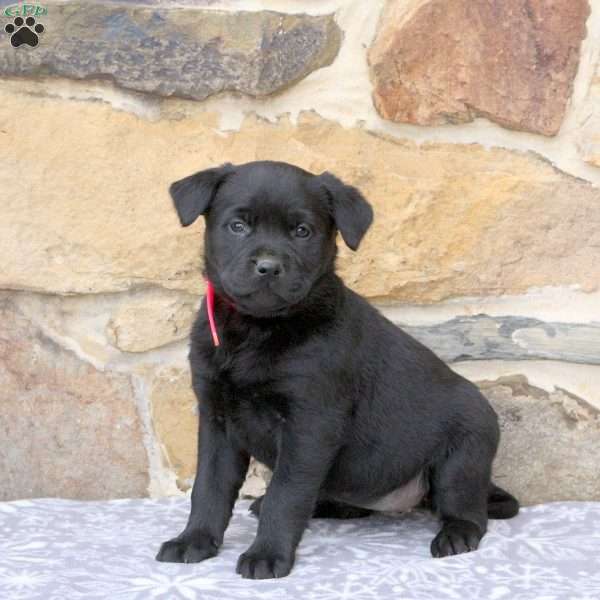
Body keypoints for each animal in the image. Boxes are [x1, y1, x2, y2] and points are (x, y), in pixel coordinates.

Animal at [157, 159, 516, 576]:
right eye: (238, 226)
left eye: (302, 231)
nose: (268, 267)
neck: (257, 329)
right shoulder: (217, 419)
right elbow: (209, 489)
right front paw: (193, 540)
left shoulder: (310, 424)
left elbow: (286, 494)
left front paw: (267, 554)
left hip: (463, 456)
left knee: (469, 510)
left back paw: (456, 535)